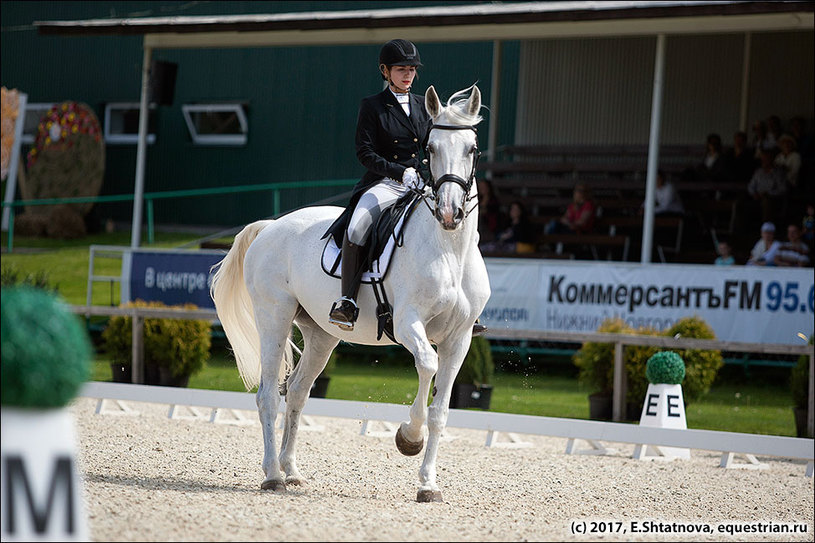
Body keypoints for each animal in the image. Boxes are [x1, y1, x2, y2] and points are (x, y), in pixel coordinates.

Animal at [210, 83, 490, 504]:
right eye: (430, 148)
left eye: (472, 148)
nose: (449, 213)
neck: (448, 249)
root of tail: (271, 226)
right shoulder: (408, 324)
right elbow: (426, 366)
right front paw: (408, 438)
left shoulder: (459, 338)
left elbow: (441, 410)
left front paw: (428, 485)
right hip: (274, 317)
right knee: (268, 395)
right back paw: (272, 475)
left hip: (320, 334)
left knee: (297, 392)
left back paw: (291, 471)